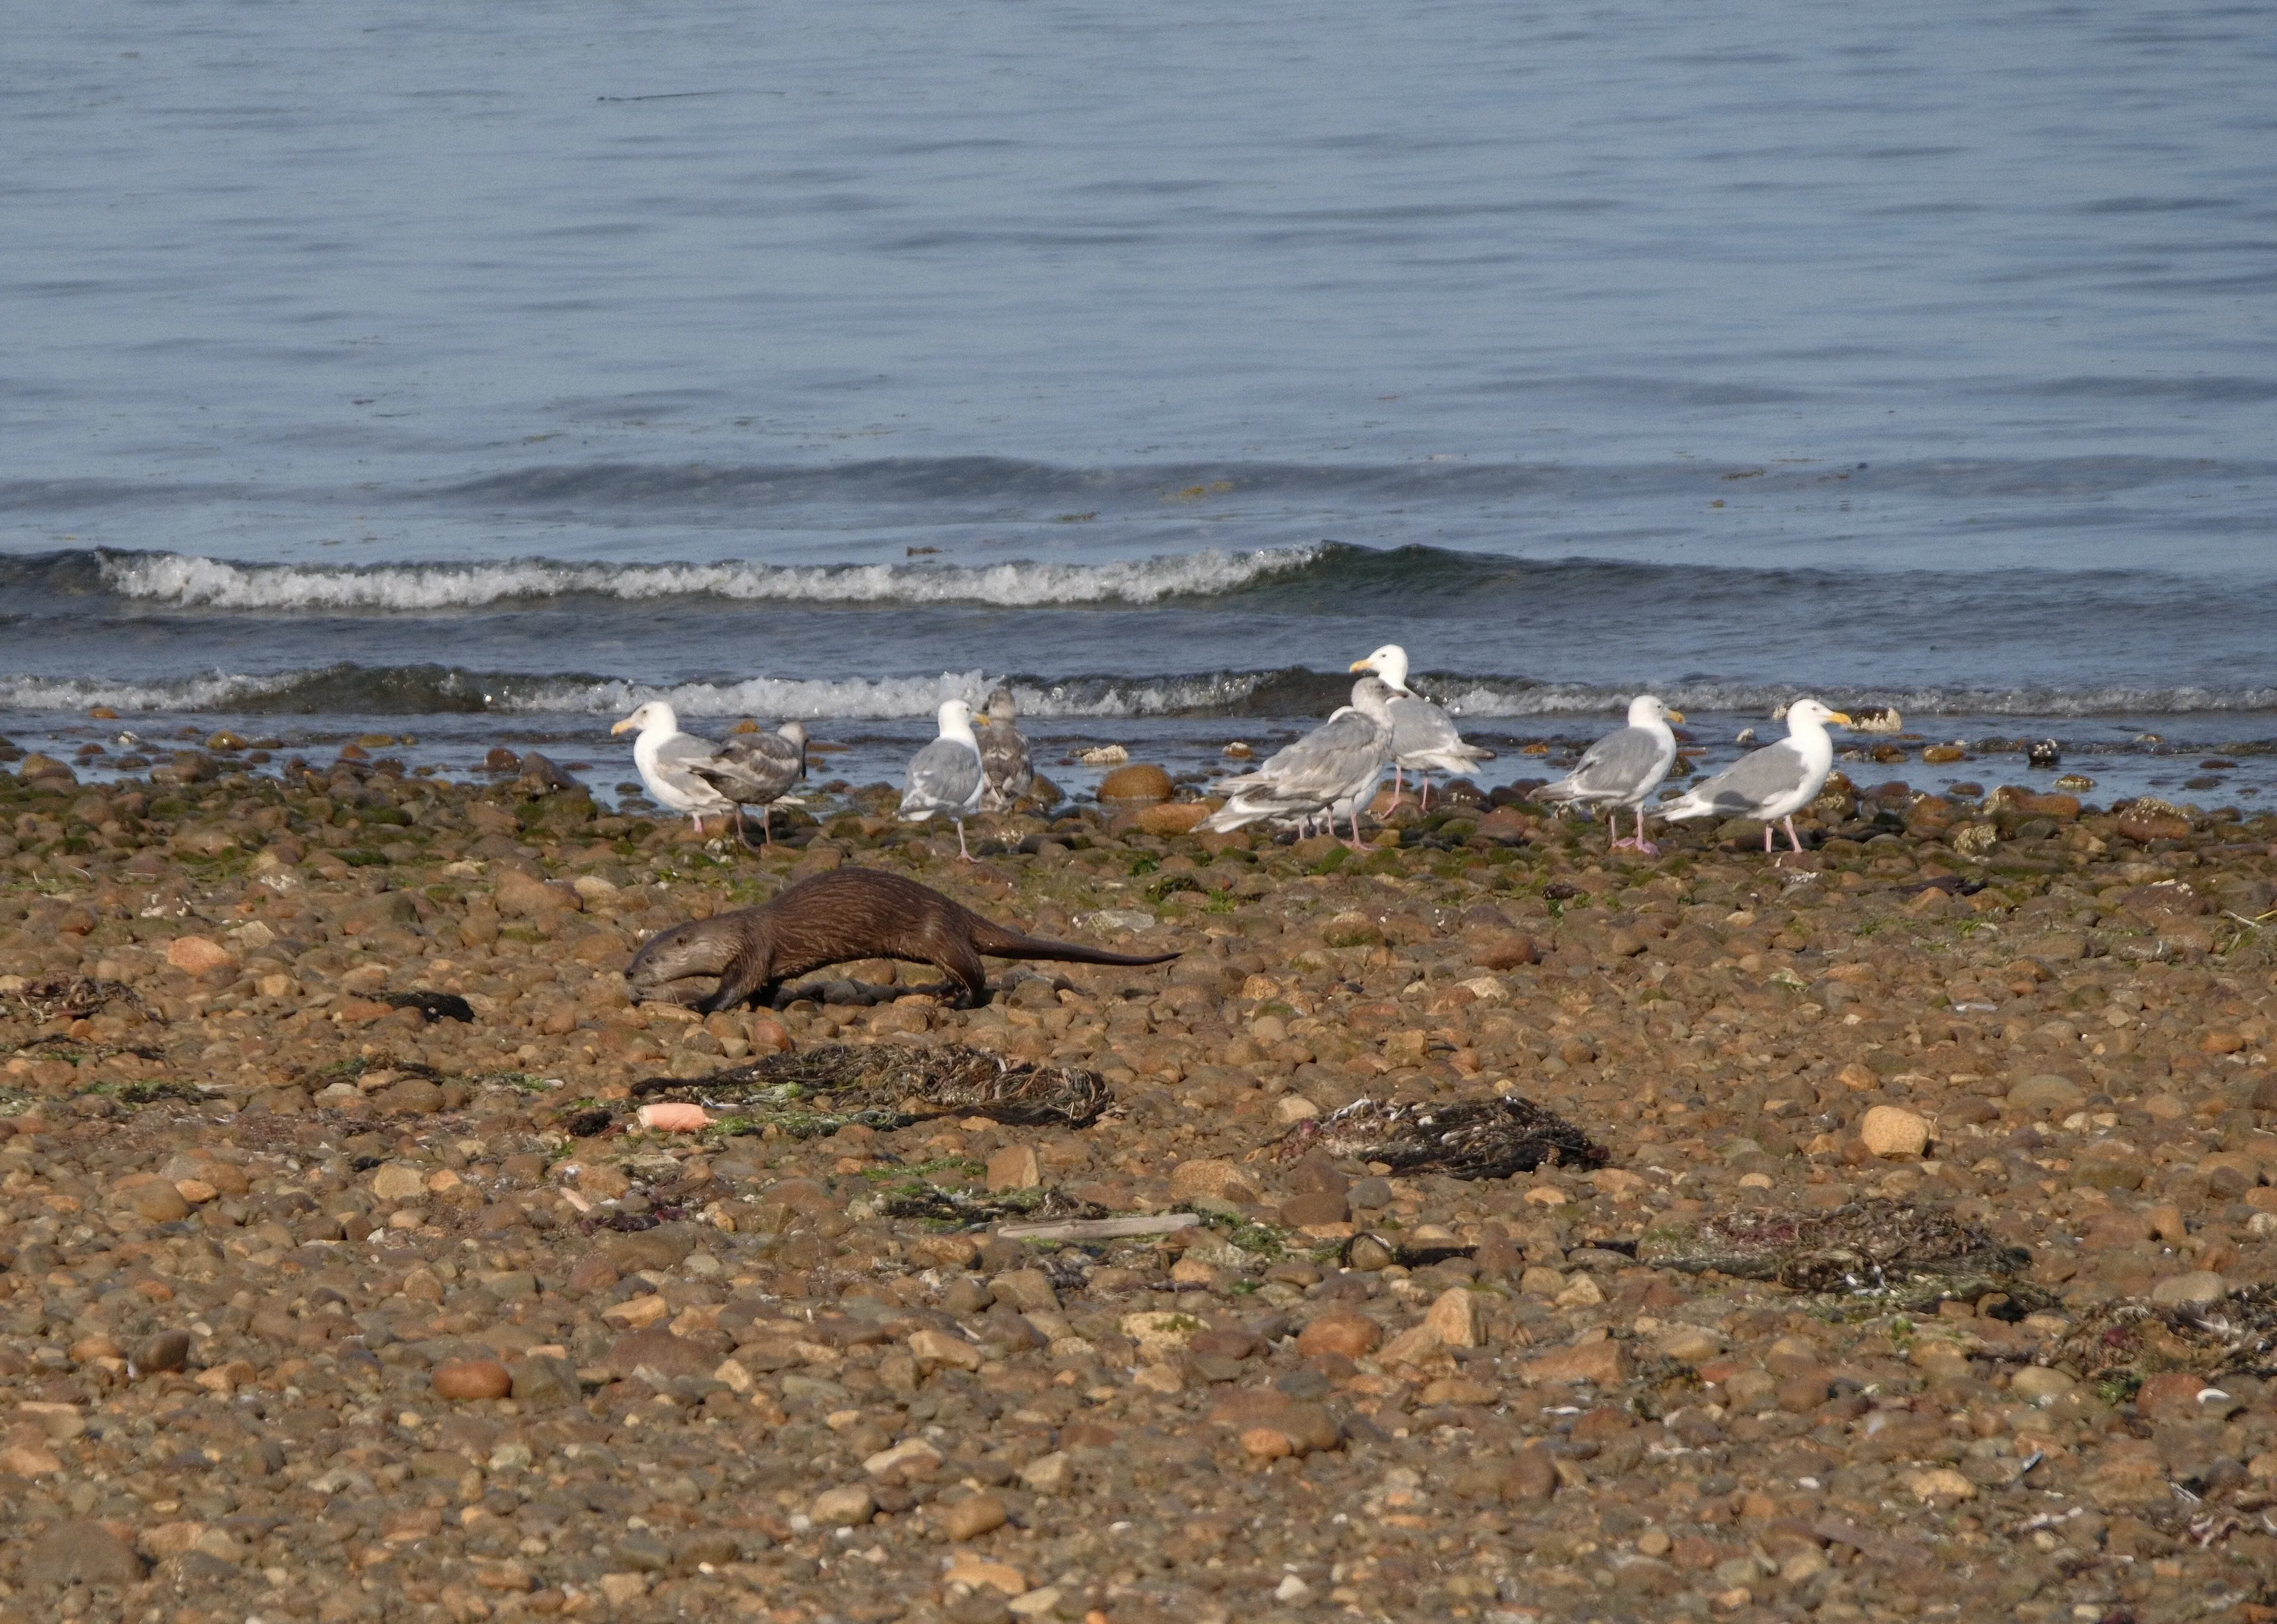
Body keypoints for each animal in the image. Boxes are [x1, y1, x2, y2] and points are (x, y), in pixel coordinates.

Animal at [625, 867, 1179, 1012]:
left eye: (649, 958)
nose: (628, 973)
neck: (739, 928)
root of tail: (953, 905)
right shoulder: (768, 960)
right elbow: (764, 986)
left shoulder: (753, 949)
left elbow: (735, 986)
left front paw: (698, 1004)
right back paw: (940, 992)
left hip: (936, 933)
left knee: (978, 972)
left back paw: (959, 1002)